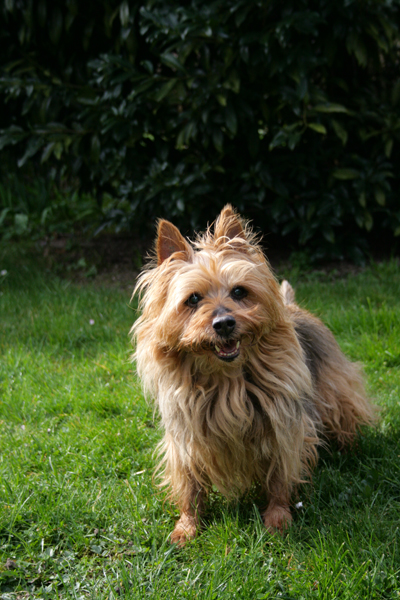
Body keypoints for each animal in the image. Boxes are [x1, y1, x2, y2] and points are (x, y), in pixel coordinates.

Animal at [131, 204, 376, 548]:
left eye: (239, 291)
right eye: (193, 299)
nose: (223, 323)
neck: (225, 378)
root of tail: (292, 304)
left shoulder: (282, 426)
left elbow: (279, 476)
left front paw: (277, 517)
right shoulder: (186, 437)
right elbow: (190, 484)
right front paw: (187, 525)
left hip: (335, 390)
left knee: (345, 415)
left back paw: (350, 448)